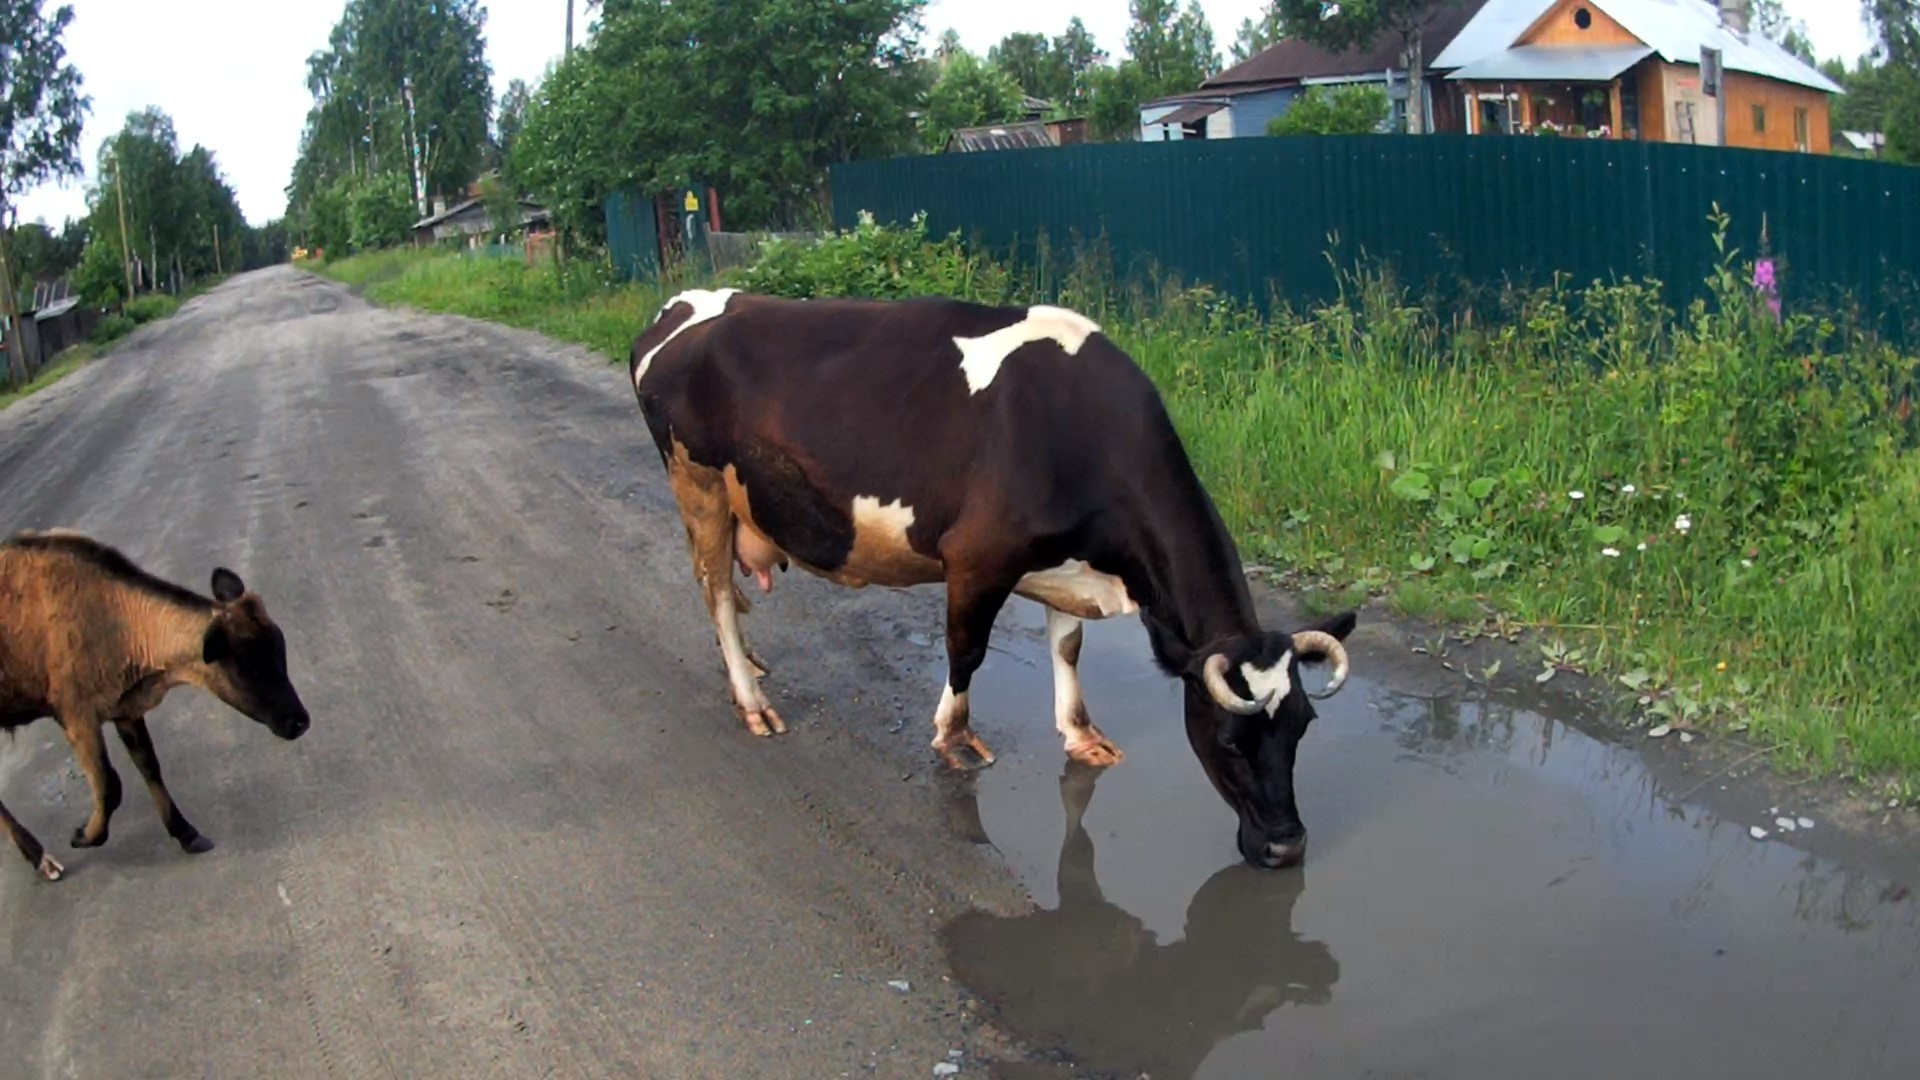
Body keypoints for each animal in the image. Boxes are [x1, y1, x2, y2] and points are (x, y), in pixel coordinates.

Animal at [0, 526, 311, 876]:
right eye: (250, 668)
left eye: (281, 651)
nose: (299, 721)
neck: (112, 616)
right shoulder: (76, 717)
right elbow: (109, 785)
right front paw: (83, 836)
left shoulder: (124, 708)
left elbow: (149, 766)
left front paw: (187, 834)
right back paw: (41, 859)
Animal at [625, 288, 1351, 864]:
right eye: (1229, 739)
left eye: (1303, 726)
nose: (1286, 846)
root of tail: (686, 303)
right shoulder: (977, 558)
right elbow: (966, 651)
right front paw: (954, 739)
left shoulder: (1066, 565)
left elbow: (1068, 647)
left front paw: (1081, 735)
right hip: (698, 486)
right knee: (717, 591)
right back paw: (751, 699)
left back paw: (750, 664)